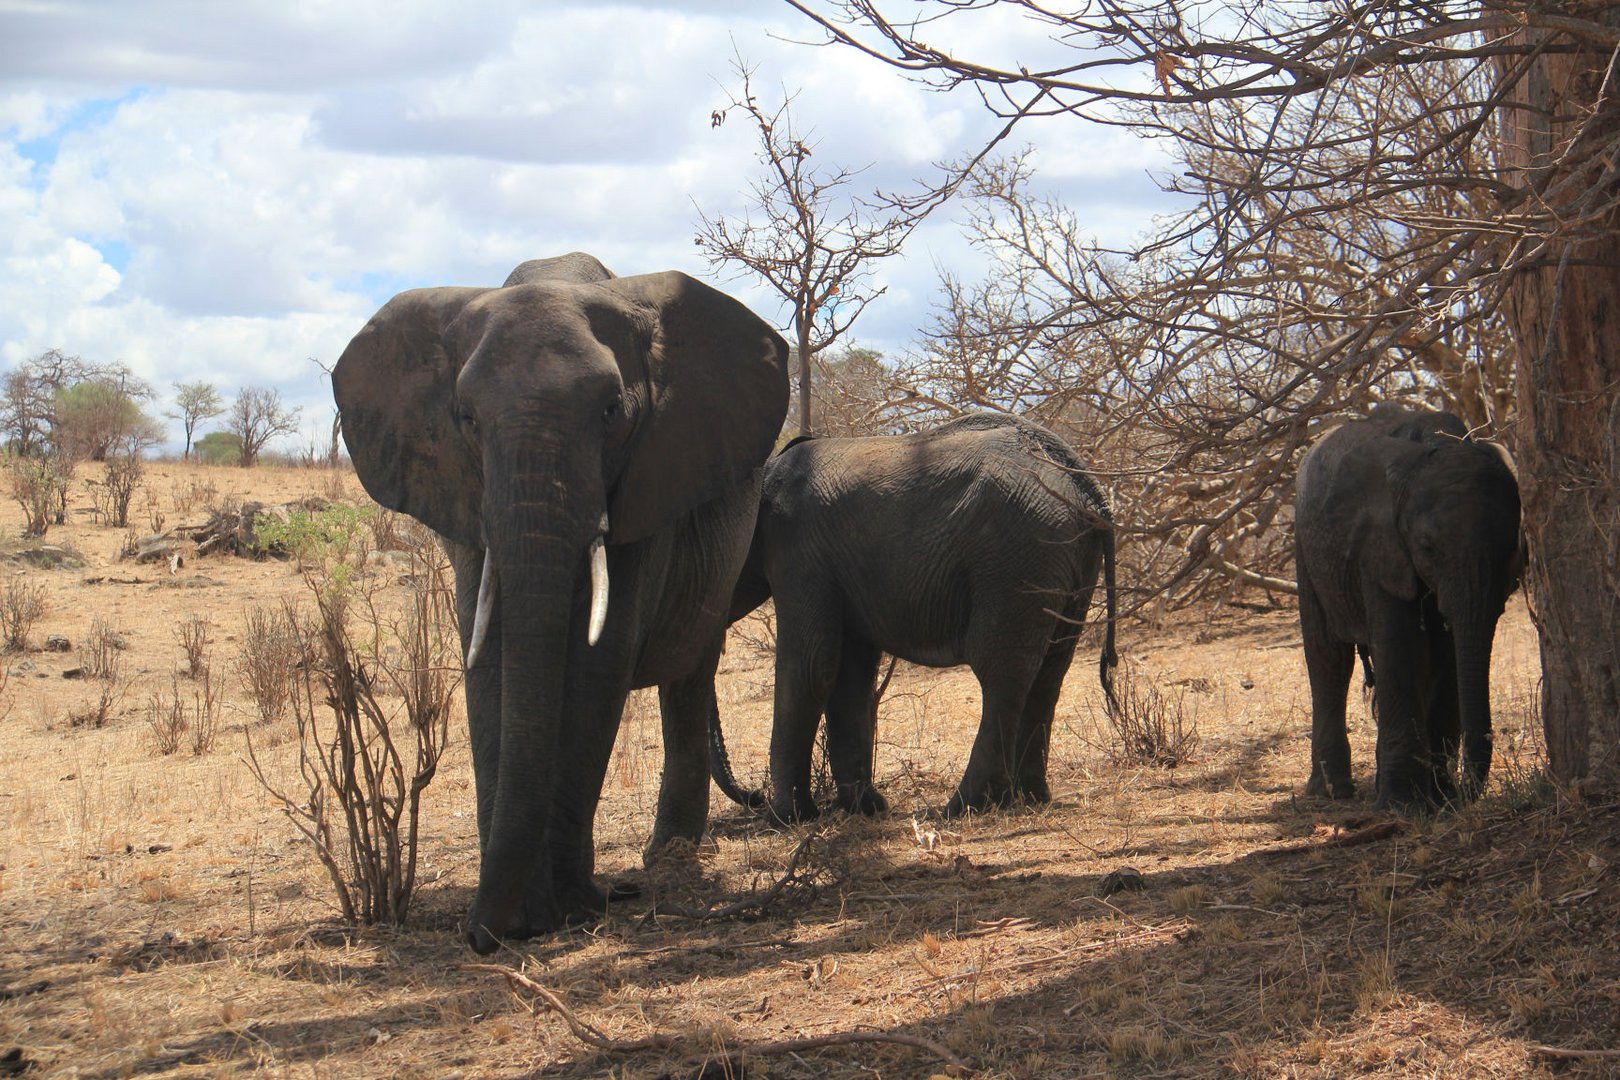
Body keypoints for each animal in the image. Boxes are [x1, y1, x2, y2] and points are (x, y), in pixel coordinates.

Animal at [332, 249, 787, 952]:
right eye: (465, 418)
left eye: (611, 412)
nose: (480, 937)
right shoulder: (466, 495)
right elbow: (490, 659)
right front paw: (520, 918)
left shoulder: (646, 480)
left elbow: (599, 662)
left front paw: (566, 910)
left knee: (690, 671)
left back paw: (670, 856)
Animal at [709, 411, 1114, 819]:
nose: (752, 796)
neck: (764, 473)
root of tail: (1086, 485)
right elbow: (851, 674)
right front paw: (865, 808)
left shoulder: (797, 552)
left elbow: (809, 665)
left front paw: (787, 818)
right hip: (1066, 564)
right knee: (1050, 671)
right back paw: (1029, 798)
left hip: (1015, 557)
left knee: (1000, 671)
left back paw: (965, 807)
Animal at [1289, 404, 1516, 809]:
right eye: (1427, 546)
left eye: (1511, 545)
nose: (1466, 794)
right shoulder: (1379, 545)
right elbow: (1402, 647)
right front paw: (1404, 807)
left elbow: (1448, 657)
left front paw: (1439, 800)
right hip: (1306, 547)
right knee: (1329, 658)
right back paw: (1332, 792)